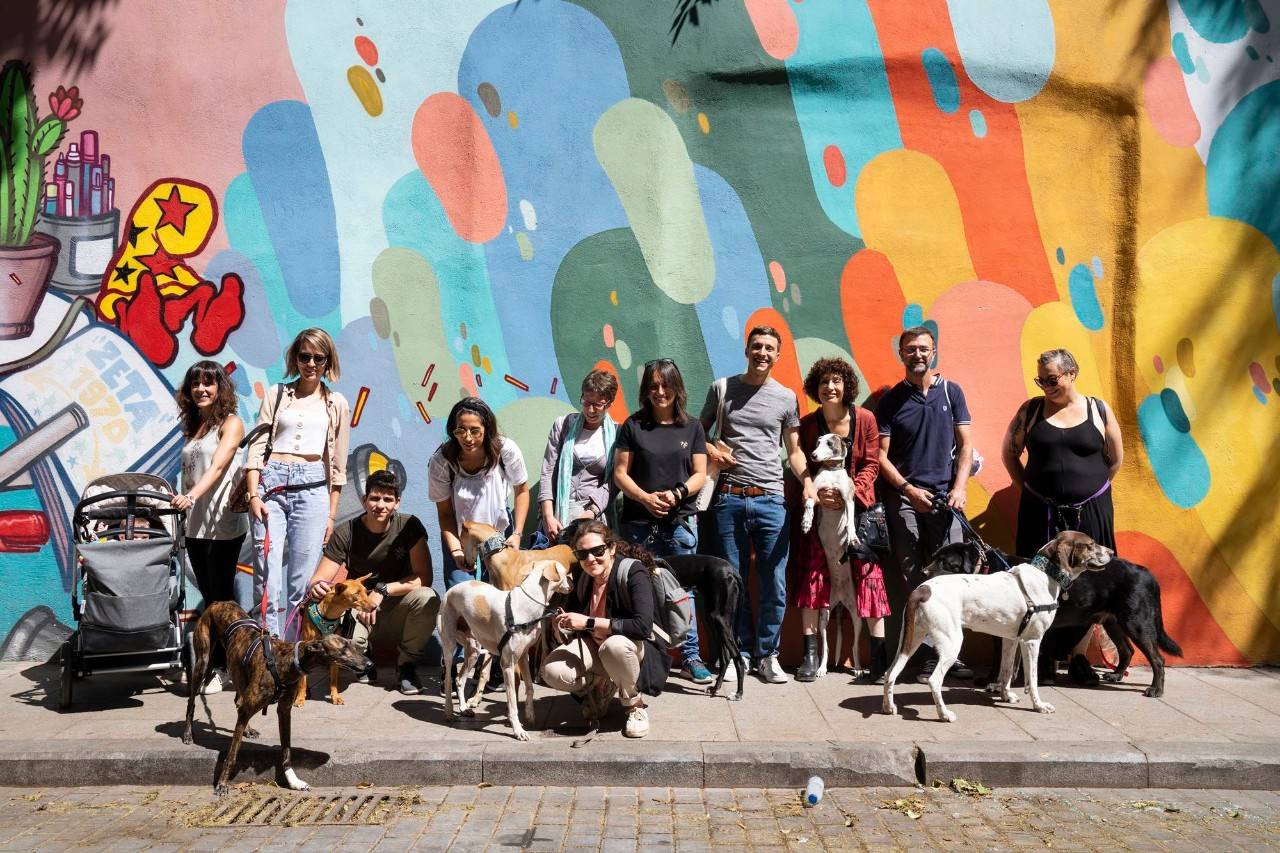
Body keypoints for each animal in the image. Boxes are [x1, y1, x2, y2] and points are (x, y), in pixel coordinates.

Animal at [445, 558, 576, 737]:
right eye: (564, 571)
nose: (572, 583)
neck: (527, 605)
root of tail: (451, 589)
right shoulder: (507, 664)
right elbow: (512, 699)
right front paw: (518, 730)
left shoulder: (524, 656)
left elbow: (530, 687)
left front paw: (530, 715)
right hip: (449, 646)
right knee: (447, 679)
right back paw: (449, 711)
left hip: (473, 650)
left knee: (459, 679)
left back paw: (464, 708)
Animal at [655, 550, 747, 696]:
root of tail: (732, 570)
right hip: (713, 619)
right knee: (726, 657)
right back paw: (715, 688)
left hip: (719, 619)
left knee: (738, 659)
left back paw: (738, 692)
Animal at [880, 532, 1111, 717]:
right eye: (1091, 544)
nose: (1111, 551)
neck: (1045, 574)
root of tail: (922, 589)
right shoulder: (1032, 641)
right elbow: (1032, 679)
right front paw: (1039, 706)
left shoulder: (1010, 639)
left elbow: (1006, 670)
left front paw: (1005, 695)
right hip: (951, 643)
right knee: (934, 681)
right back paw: (944, 714)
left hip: (910, 641)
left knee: (890, 673)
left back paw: (888, 708)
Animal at [926, 540, 1182, 696]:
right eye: (934, 556)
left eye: (945, 562)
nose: (923, 572)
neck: (985, 572)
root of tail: (1146, 572)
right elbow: (1004, 659)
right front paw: (998, 682)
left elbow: (1001, 660)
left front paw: (995, 683)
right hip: (1113, 620)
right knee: (1127, 649)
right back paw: (1117, 674)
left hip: (1136, 621)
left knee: (1157, 659)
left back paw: (1155, 690)